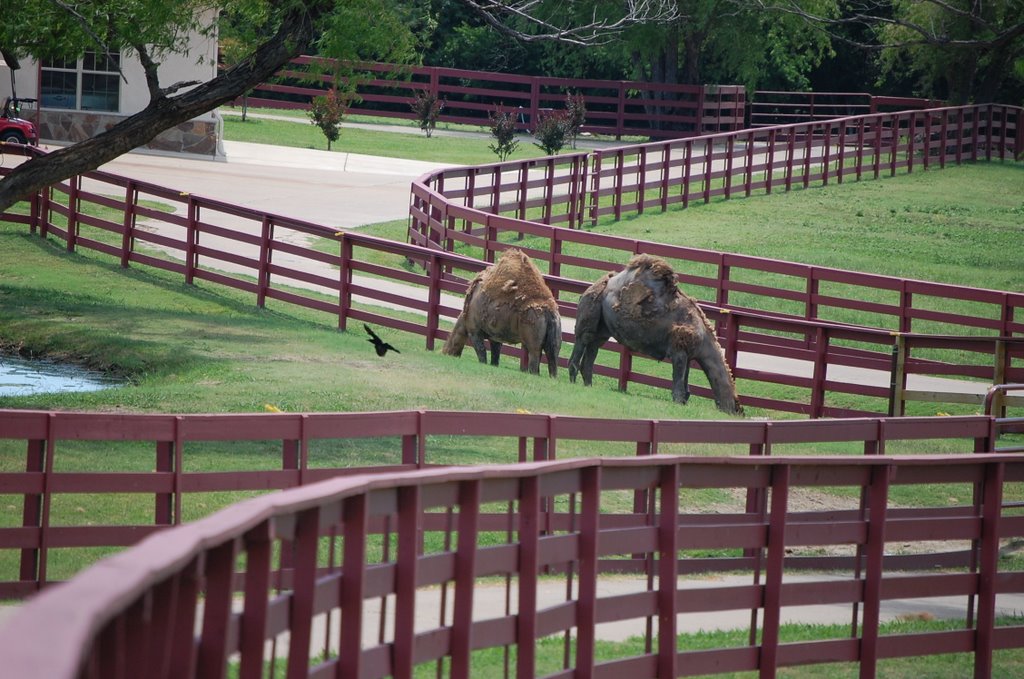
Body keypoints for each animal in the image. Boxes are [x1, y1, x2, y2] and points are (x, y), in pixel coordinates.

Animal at [569, 255, 745, 413]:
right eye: (737, 409)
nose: (733, 412)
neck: (702, 336)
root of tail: (591, 287)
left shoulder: (687, 354)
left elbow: (686, 389)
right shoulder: (678, 351)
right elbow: (678, 388)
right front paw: (677, 404)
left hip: (602, 330)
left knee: (590, 356)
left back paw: (589, 386)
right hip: (589, 313)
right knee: (579, 347)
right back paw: (572, 383)